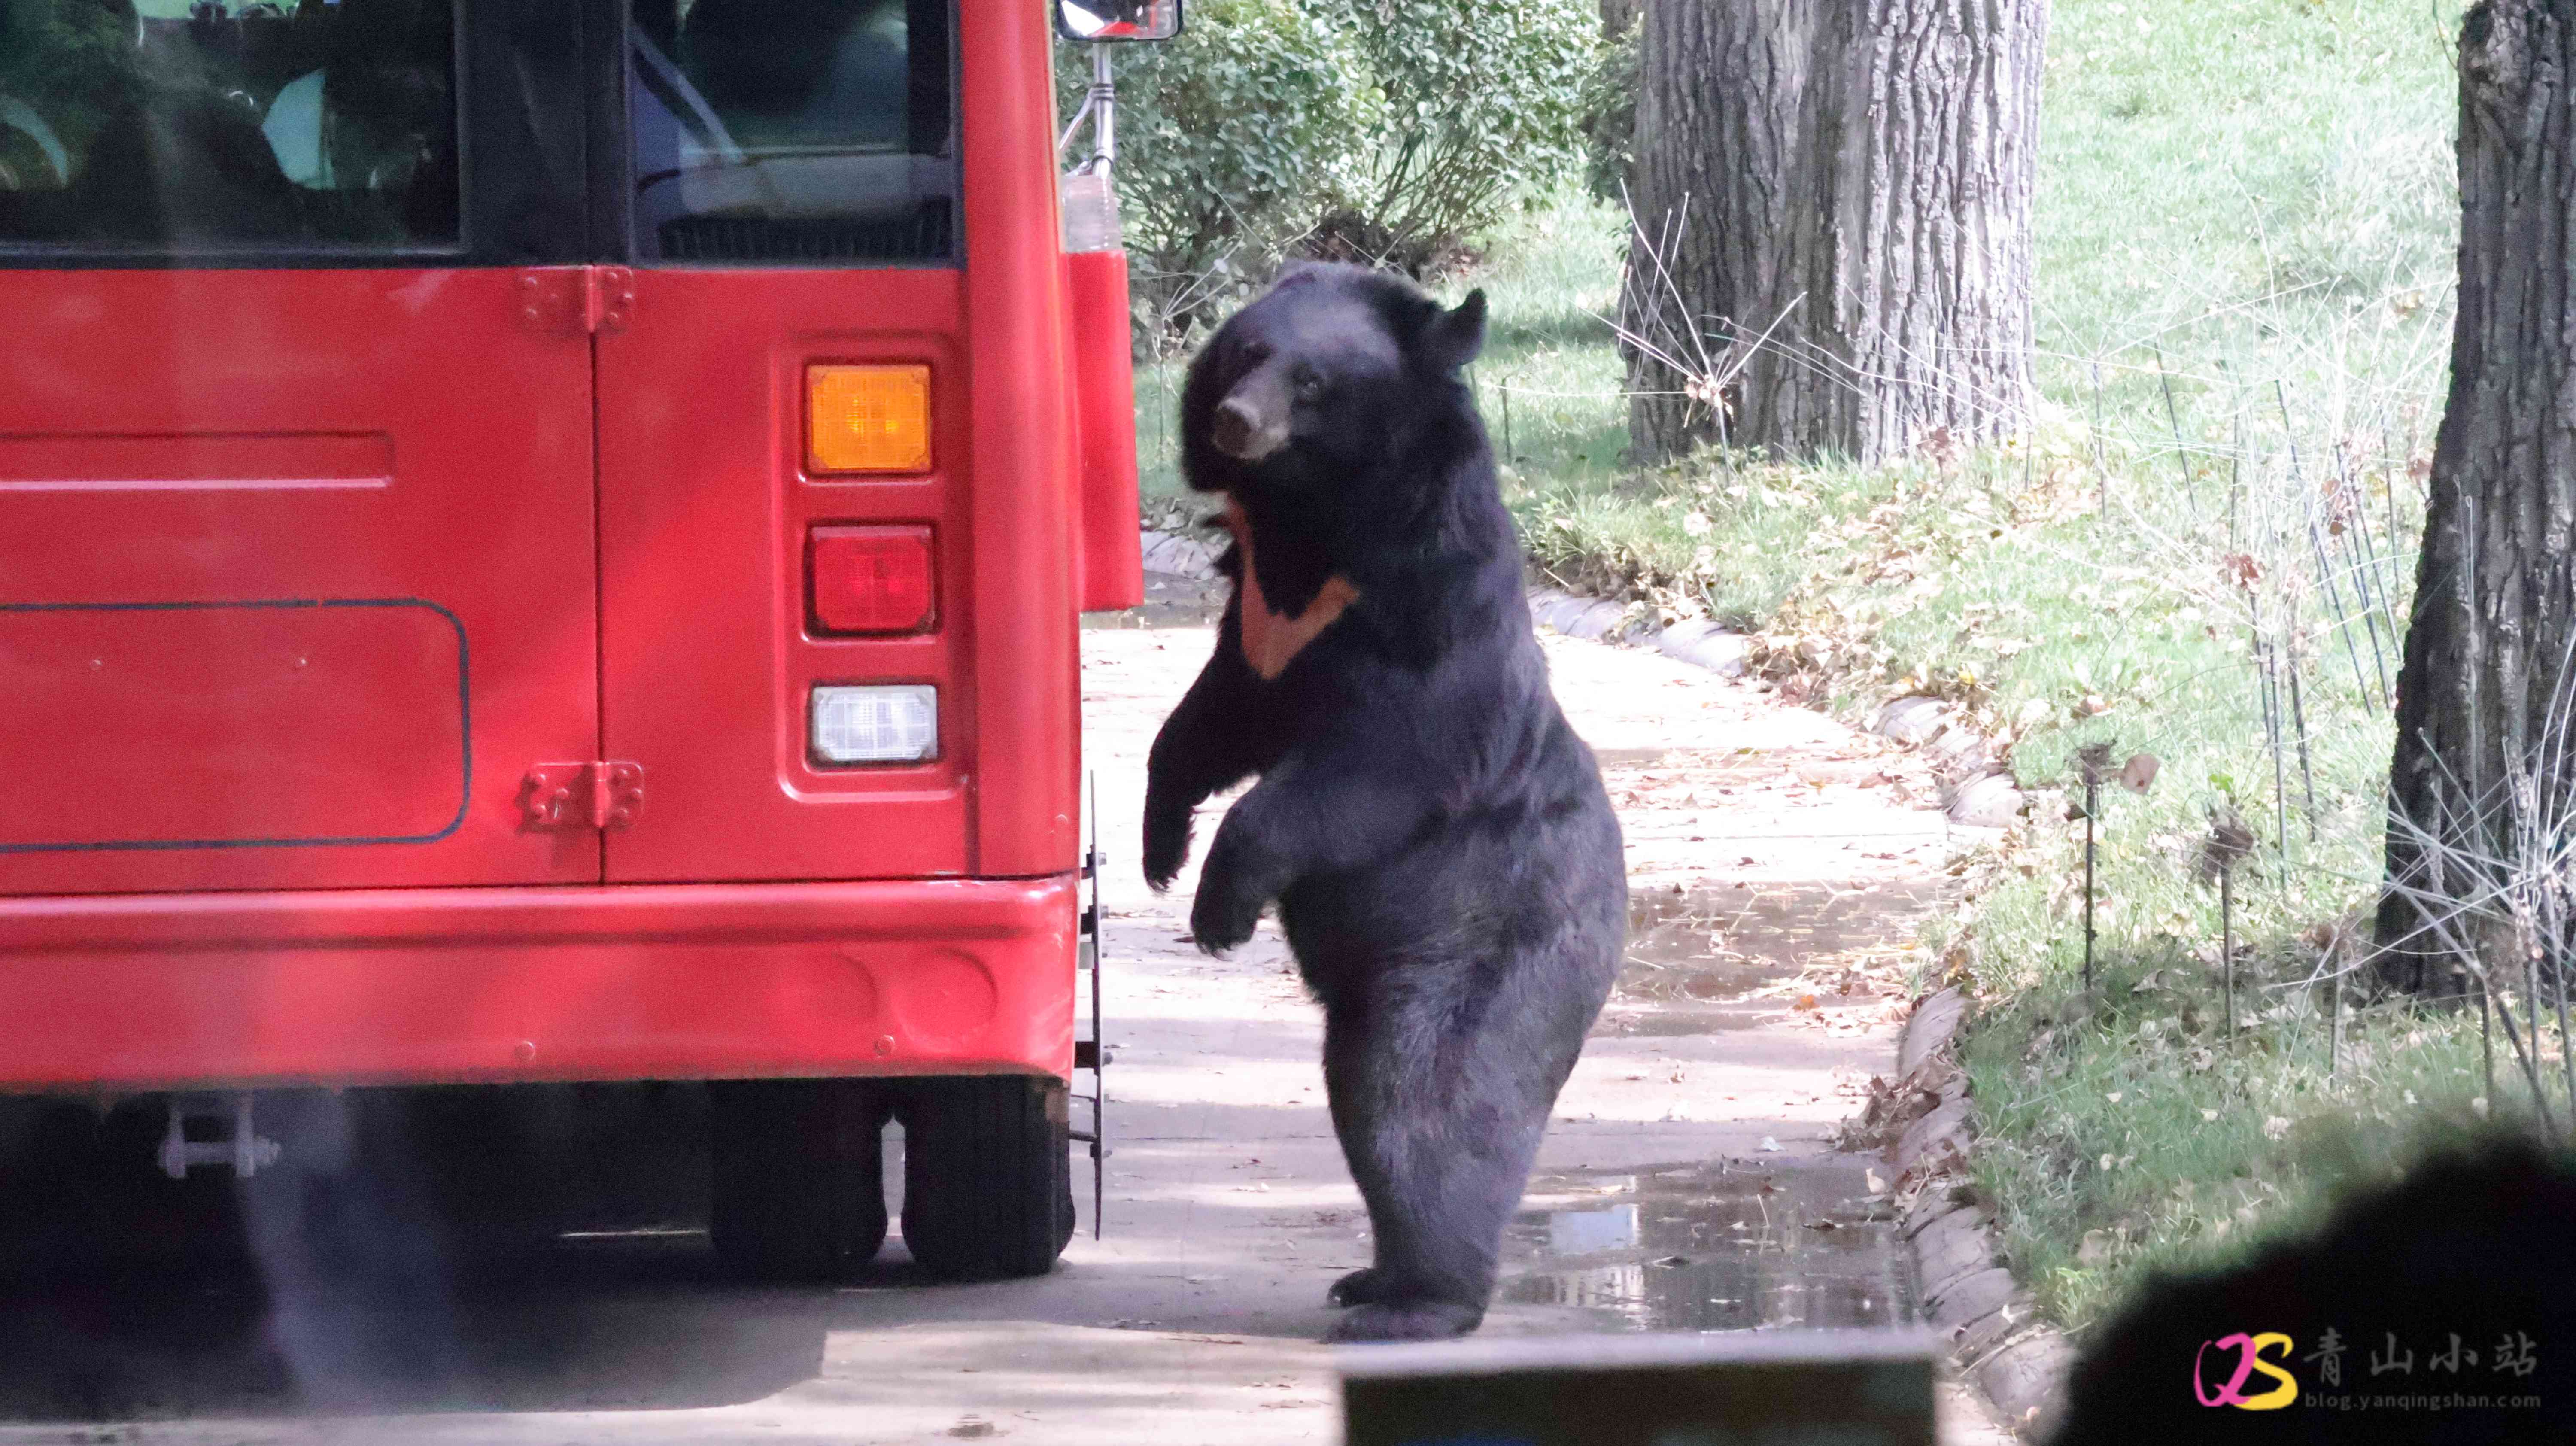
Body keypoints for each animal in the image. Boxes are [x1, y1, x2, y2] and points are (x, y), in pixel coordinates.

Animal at [1141, 263, 1628, 1343]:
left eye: (1314, 383)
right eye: (1247, 354)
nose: (1236, 421)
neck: (1311, 524)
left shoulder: (1425, 616)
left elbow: (1378, 762)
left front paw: (1219, 908)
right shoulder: (1261, 622)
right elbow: (1209, 719)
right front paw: (1160, 846)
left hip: (1484, 953)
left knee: (1426, 1113)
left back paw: (1418, 1301)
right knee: (1371, 1107)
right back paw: (1370, 1280)